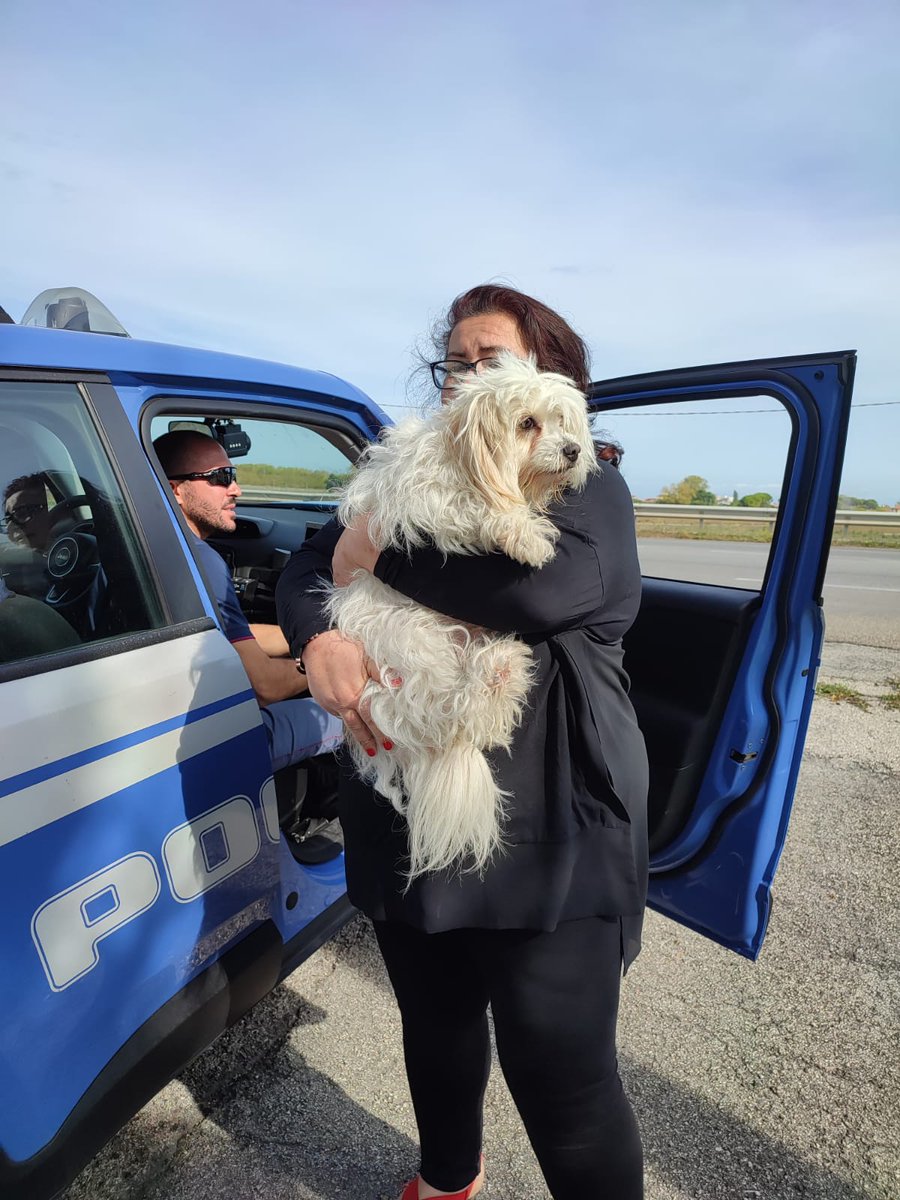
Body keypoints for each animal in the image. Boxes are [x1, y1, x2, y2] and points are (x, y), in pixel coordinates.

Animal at [328, 350, 600, 878]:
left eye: (562, 421)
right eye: (528, 423)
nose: (574, 451)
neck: (460, 455)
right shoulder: (425, 495)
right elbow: (474, 506)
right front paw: (524, 533)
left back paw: (502, 673)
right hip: (414, 645)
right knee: (455, 713)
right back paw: (495, 676)